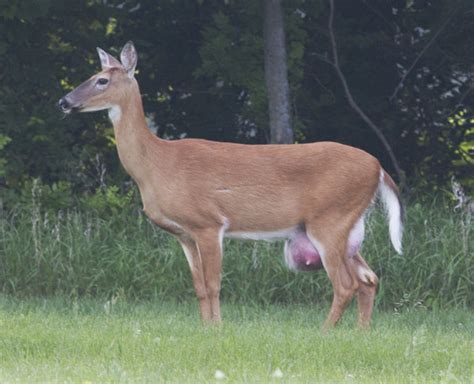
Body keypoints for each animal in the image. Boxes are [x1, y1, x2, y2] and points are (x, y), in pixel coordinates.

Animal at [57, 42, 402, 330]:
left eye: (102, 80)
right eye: (92, 75)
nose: (64, 101)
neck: (156, 165)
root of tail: (379, 168)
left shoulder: (208, 222)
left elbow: (214, 284)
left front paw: (217, 328)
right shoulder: (184, 234)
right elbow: (198, 286)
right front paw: (205, 327)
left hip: (330, 219)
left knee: (346, 283)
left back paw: (325, 331)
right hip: (346, 227)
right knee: (369, 278)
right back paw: (360, 331)